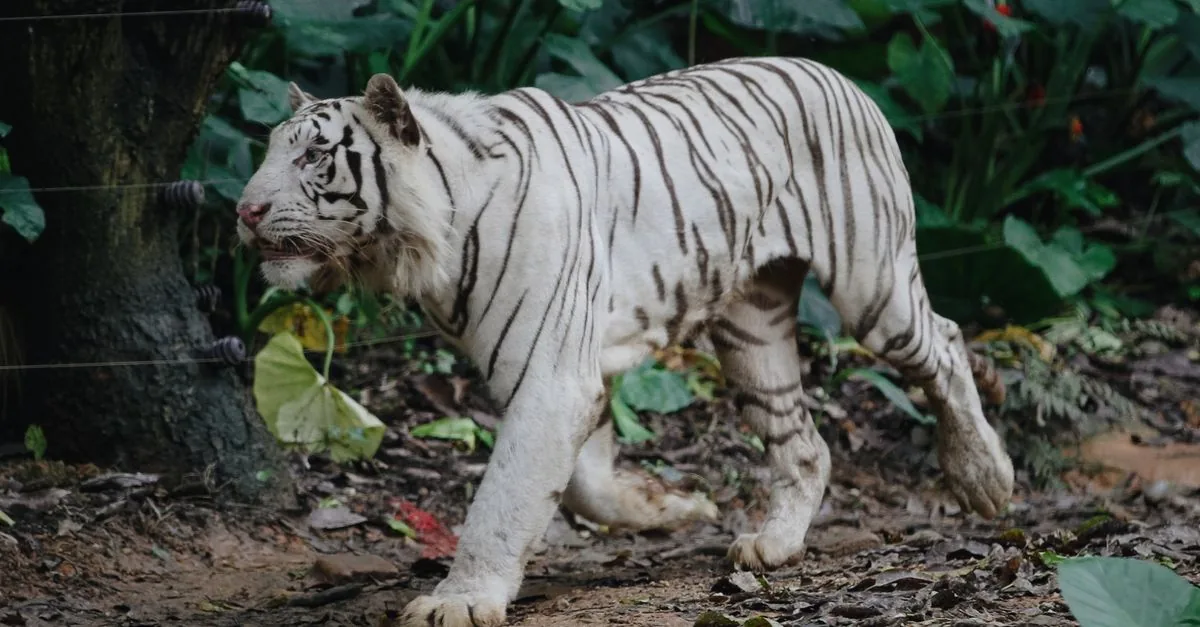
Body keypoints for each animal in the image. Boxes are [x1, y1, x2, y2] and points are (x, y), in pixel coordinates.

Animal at [235, 56, 1015, 627]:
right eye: (273, 151)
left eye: (314, 158)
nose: (244, 210)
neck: (426, 241)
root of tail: (839, 75)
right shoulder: (571, 366)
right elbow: (583, 482)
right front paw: (672, 506)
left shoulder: (552, 372)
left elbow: (502, 496)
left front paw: (459, 599)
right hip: (752, 329)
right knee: (805, 442)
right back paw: (774, 543)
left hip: (871, 285)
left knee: (946, 343)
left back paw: (986, 476)